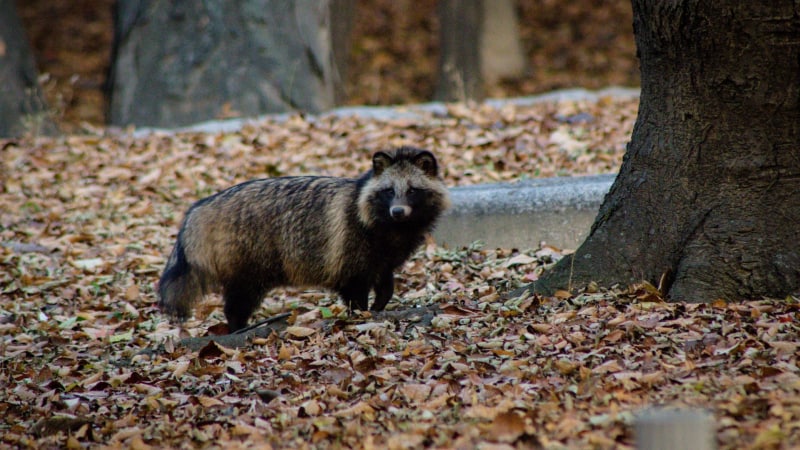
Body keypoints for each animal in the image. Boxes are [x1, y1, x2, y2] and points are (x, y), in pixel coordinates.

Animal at [156, 147, 450, 330]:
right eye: (389, 191)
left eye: (411, 191)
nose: (398, 211)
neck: (393, 227)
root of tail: (203, 206)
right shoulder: (350, 245)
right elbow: (354, 288)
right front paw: (360, 313)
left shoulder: (382, 254)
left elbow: (385, 280)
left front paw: (379, 304)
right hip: (247, 254)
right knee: (240, 298)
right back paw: (238, 326)